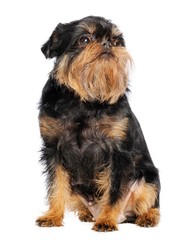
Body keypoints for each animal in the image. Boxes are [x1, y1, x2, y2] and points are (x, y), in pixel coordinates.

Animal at [35, 15, 160, 232]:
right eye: (84, 39)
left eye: (117, 42)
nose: (107, 44)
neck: (85, 101)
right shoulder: (53, 151)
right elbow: (56, 187)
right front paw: (52, 216)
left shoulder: (118, 154)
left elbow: (114, 191)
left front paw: (107, 220)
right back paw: (87, 214)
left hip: (149, 178)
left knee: (150, 204)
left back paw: (146, 217)